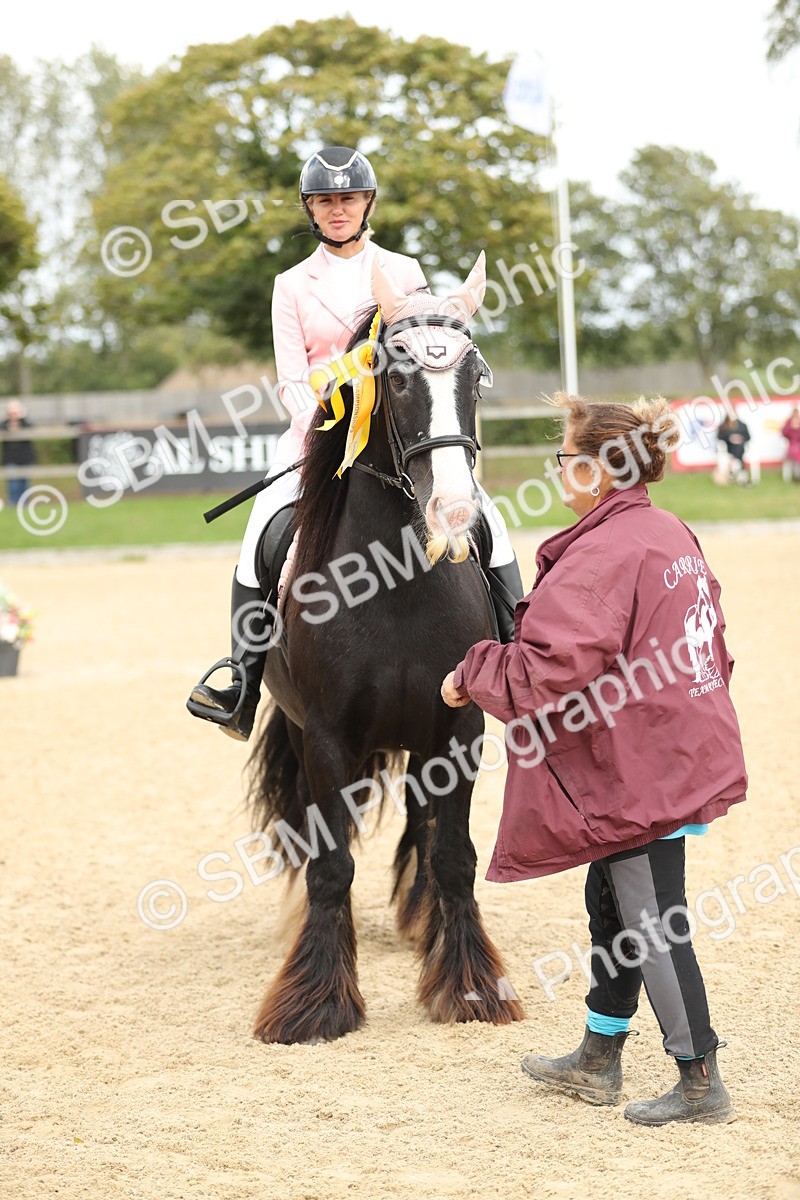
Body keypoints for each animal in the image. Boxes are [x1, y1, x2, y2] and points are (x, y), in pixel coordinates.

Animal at [245, 252, 525, 1044]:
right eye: (394, 377)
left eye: (477, 377)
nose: (454, 512)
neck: (394, 583)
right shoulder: (326, 736)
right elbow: (330, 866)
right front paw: (314, 1004)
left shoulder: (460, 726)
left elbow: (455, 856)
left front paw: (469, 987)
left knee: (426, 830)